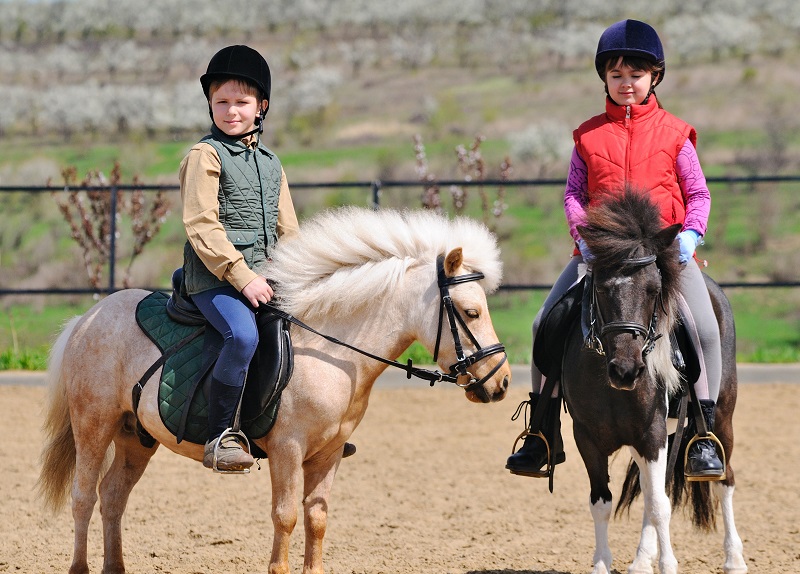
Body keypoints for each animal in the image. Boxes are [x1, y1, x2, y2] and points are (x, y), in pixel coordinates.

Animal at [37, 206, 512, 574]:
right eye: (471, 311)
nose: (502, 382)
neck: (332, 353)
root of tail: (87, 318)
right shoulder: (287, 450)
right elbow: (285, 517)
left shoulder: (328, 454)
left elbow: (316, 519)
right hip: (94, 425)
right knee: (83, 497)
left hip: (136, 436)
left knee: (112, 497)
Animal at [560, 189, 747, 574]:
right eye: (601, 288)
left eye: (653, 289)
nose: (626, 371)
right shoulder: (588, 437)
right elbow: (602, 502)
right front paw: (602, 564)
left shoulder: (653, 431)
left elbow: (661, 505)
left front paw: (668, 564)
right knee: (649, 490)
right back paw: (641, 560)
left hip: (722, 417)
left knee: (725, 480)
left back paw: (734, 558)